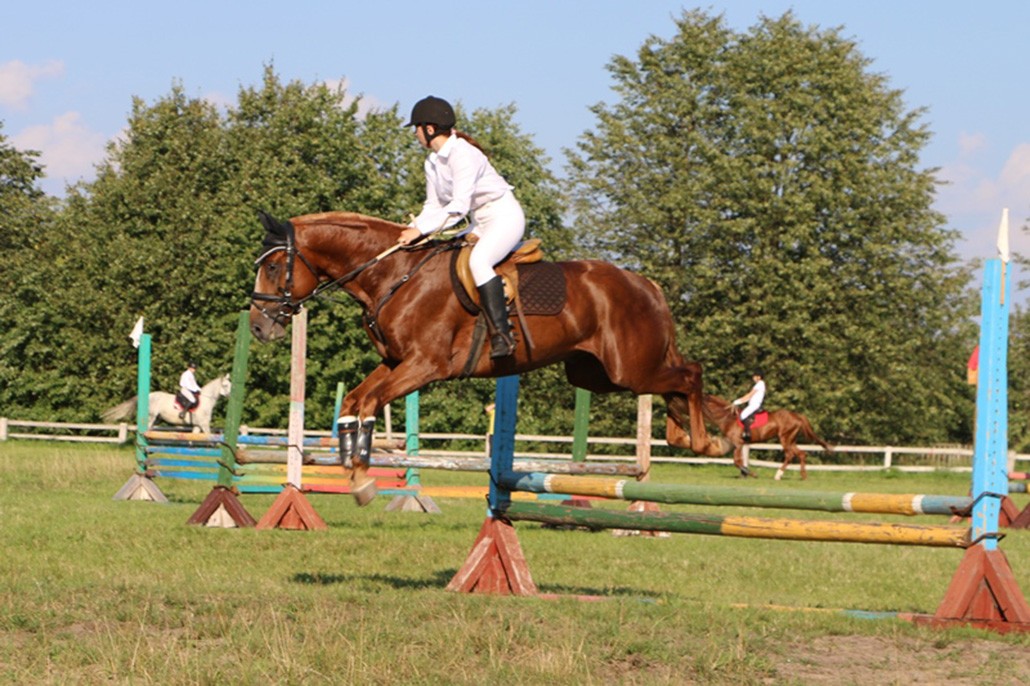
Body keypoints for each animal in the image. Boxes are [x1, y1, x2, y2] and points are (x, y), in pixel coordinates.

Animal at [102, 374, 232, 434]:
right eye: (225, 385)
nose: (230, 396)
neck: (206, 400)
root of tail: (149, 395)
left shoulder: (197, 425)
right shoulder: (204, 424)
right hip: (151, 417)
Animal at [249, 211, 730, 505]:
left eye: (272, 267)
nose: (257, 327)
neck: (394, 276)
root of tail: (645, 284)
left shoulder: (424, 367)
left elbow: (368, 403)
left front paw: (363, 480)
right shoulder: (396, 364)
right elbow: (353, 404)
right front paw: (354, 470)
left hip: (629, 369)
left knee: (690, 374)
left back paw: (709, 441)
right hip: (597, 375)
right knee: (677, 385)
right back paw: (696, 434)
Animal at [700, 394, 834, 479]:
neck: (728, 418)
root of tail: (797, 416)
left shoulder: (737, 443)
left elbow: (737, 461)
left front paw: (750, 473)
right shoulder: (738, 444)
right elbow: (740, 460)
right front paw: (744, 474)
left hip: (785, 439)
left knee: (790, 455)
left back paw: (778, 475)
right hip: (791, 440)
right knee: (801, 454)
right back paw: (803, 476)